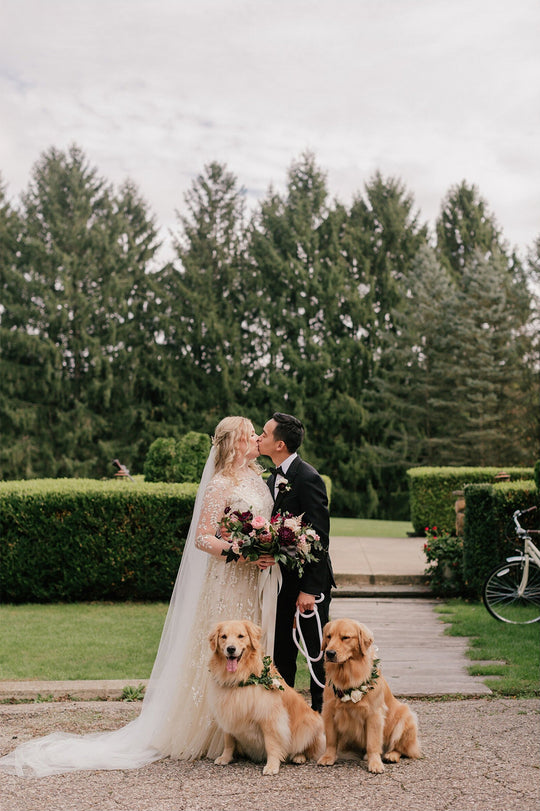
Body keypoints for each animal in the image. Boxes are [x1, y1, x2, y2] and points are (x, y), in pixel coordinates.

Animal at [209, 620, 322, 776]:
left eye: (240, 636)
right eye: (223, 636)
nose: (231, 649)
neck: (240, 678)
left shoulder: (270, 717)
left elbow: (271, 744)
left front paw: (272, 765)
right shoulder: (228, 712)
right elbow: (229, 740)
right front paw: (225, 758)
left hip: (310, 722)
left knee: (306, 747)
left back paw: (298, 757)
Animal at [316, 620, 422, 772]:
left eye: (345, 637)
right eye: (328, 636)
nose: (329, 653)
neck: (347, 676)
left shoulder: (373, 714)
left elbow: (373, 742)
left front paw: (375, 764)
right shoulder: (329, 711)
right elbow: (331, 740)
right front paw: (328, 757)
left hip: (405, 717)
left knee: (401, 749)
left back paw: (391, 756)